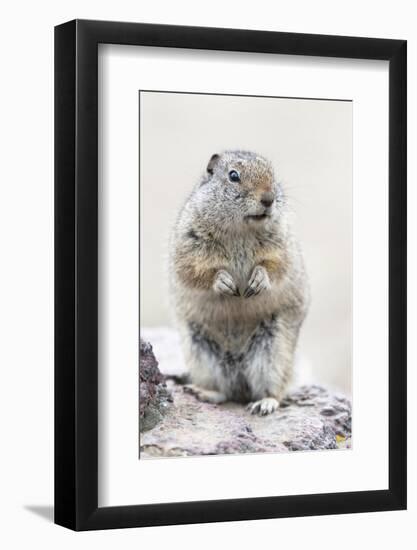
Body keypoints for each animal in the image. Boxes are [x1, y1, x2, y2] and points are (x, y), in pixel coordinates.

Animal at [169, 149, 308, 416]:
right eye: (234, 176)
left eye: (272, 174)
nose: (269, 199)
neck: (240, 230)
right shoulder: (188, 248)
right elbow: (195, 272)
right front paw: (223, 281)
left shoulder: (281, 247)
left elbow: (275, 266)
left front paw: (258, 280)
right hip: (201, 353)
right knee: (225, 392)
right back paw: (203, 392)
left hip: (273, 352)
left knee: (273, 389)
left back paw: (264, 404)